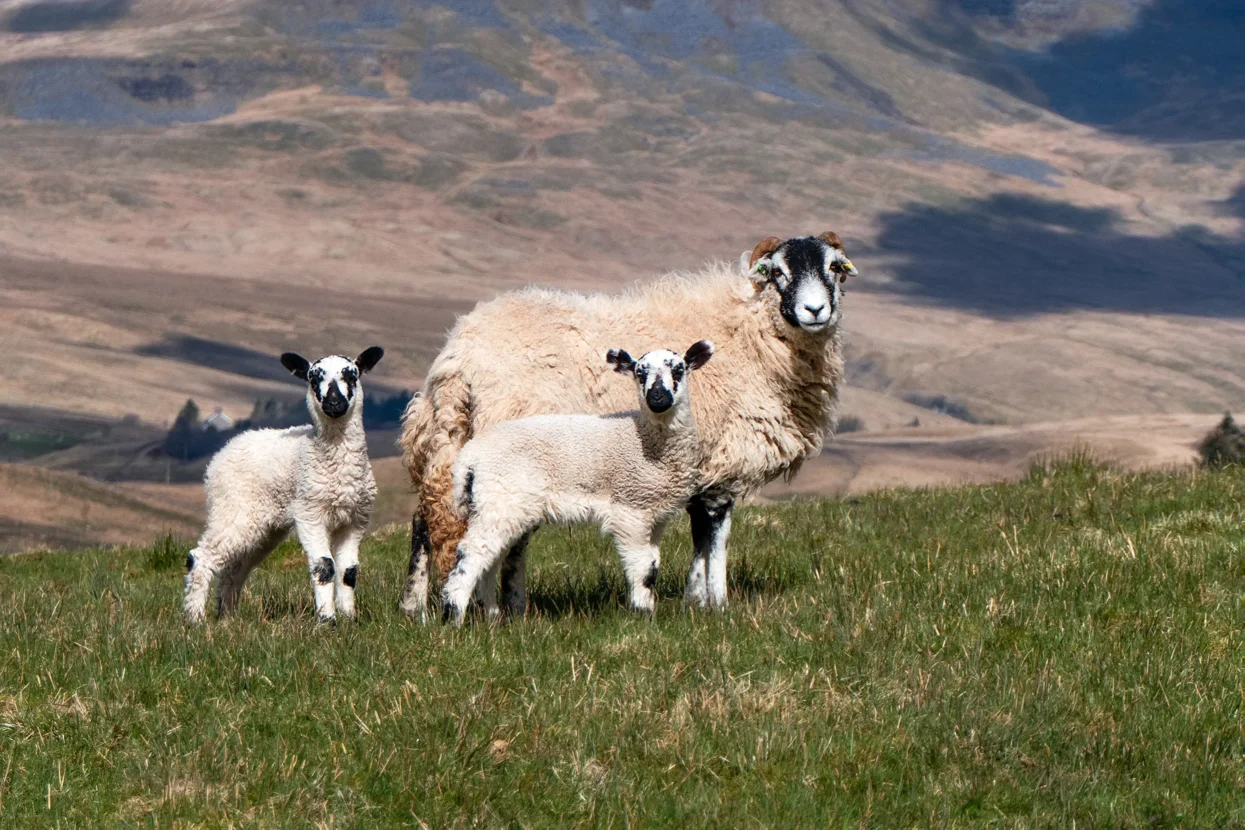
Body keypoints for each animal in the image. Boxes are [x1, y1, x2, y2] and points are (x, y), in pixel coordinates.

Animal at [181, 348, 380, 627]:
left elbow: (348, 572)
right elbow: (324, 567)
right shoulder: (310, 513)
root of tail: (225, 450)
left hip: (263, 527)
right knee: (202, 556)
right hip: (233, 509)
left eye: (351, 375)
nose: (333, 403)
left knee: (234, 568)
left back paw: (227, 618)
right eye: (313, 378)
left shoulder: (355, 519)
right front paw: (327, 621)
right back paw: (195, 619)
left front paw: (350, 619)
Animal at [438, 343, 712, 622]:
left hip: (496, 506)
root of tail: (469, 458)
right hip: (500, 499)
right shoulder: (629, 508)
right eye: (639, 373)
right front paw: (642, 614)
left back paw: (492, 617)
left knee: (491, 558)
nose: (657, 398)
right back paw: (453, 615)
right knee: (472, 553)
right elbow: (642, 567)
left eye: (678, 370)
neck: (647, 438)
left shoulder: (654, 513)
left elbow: (654, 564)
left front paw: (647, 609)